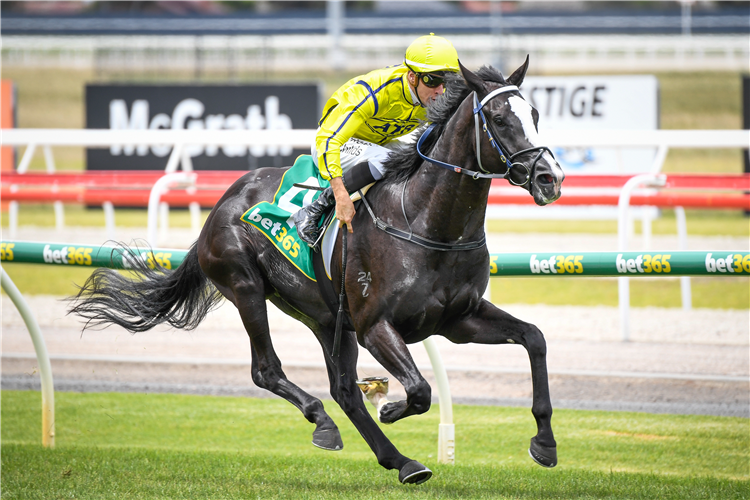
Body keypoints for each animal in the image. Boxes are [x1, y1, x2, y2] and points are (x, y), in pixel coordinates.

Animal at [70, 58, 564, 484]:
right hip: (246, 286)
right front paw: (390, 408)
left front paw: (544, 443)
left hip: (326, 318)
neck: (425, 220)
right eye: (499, 119)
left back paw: (400, 461)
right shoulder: (375, 325)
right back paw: (325, 422)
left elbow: (535, 338)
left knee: (343, 390)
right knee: (267, 370)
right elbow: (420, 390)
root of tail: (224, 201)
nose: (550, 178)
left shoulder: (458, 319)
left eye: (536, 113)